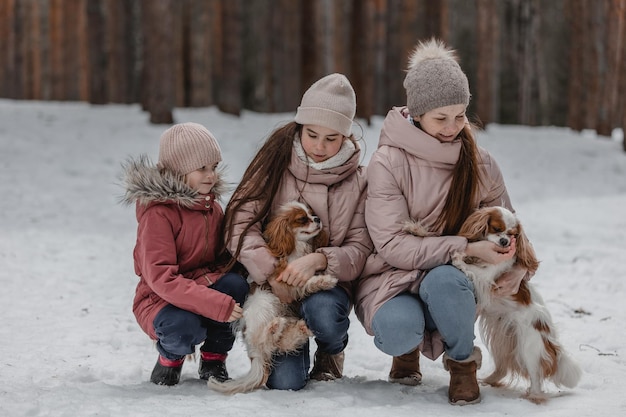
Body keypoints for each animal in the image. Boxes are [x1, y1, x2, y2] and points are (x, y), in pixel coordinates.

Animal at [208, 202, 336, 394]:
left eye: (312, 213)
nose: (318, 219)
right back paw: (274, 327)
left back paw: (299, 328)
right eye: (302, 219)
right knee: (264, 340)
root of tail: (255, 357)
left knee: (280, 344)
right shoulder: (284, 277)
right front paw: (325, 280)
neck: (297, 247)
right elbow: (305, 282)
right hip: (264, 303)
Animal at [404, 207, 580, 404]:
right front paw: (415, 229)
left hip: (529, 346)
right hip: (503, 340)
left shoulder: (486, 277)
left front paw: (457, 258)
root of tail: (552, 342)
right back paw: (488, 380)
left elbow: (469, 267)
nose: (504, 242)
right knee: (503, 368)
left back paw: (533, 397)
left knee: (536, 377)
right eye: (497, 228)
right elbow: (442, 238)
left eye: (512, 235)